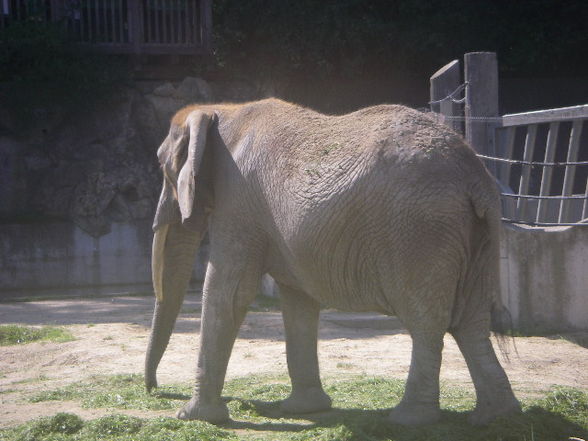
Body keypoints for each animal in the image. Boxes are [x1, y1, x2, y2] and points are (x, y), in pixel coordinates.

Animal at [145, 98, 520, 424]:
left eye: (163, 167)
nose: (154, 389)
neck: (222, 110)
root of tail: (475, 174)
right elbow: (297, 299)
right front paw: (304, 410)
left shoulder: (237, 202)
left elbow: (229, 290)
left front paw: (194, 417)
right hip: (470, 234)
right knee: (471, 323)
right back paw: (495, 416)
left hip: (421, 231)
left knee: (428, 321)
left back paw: (409, 419)